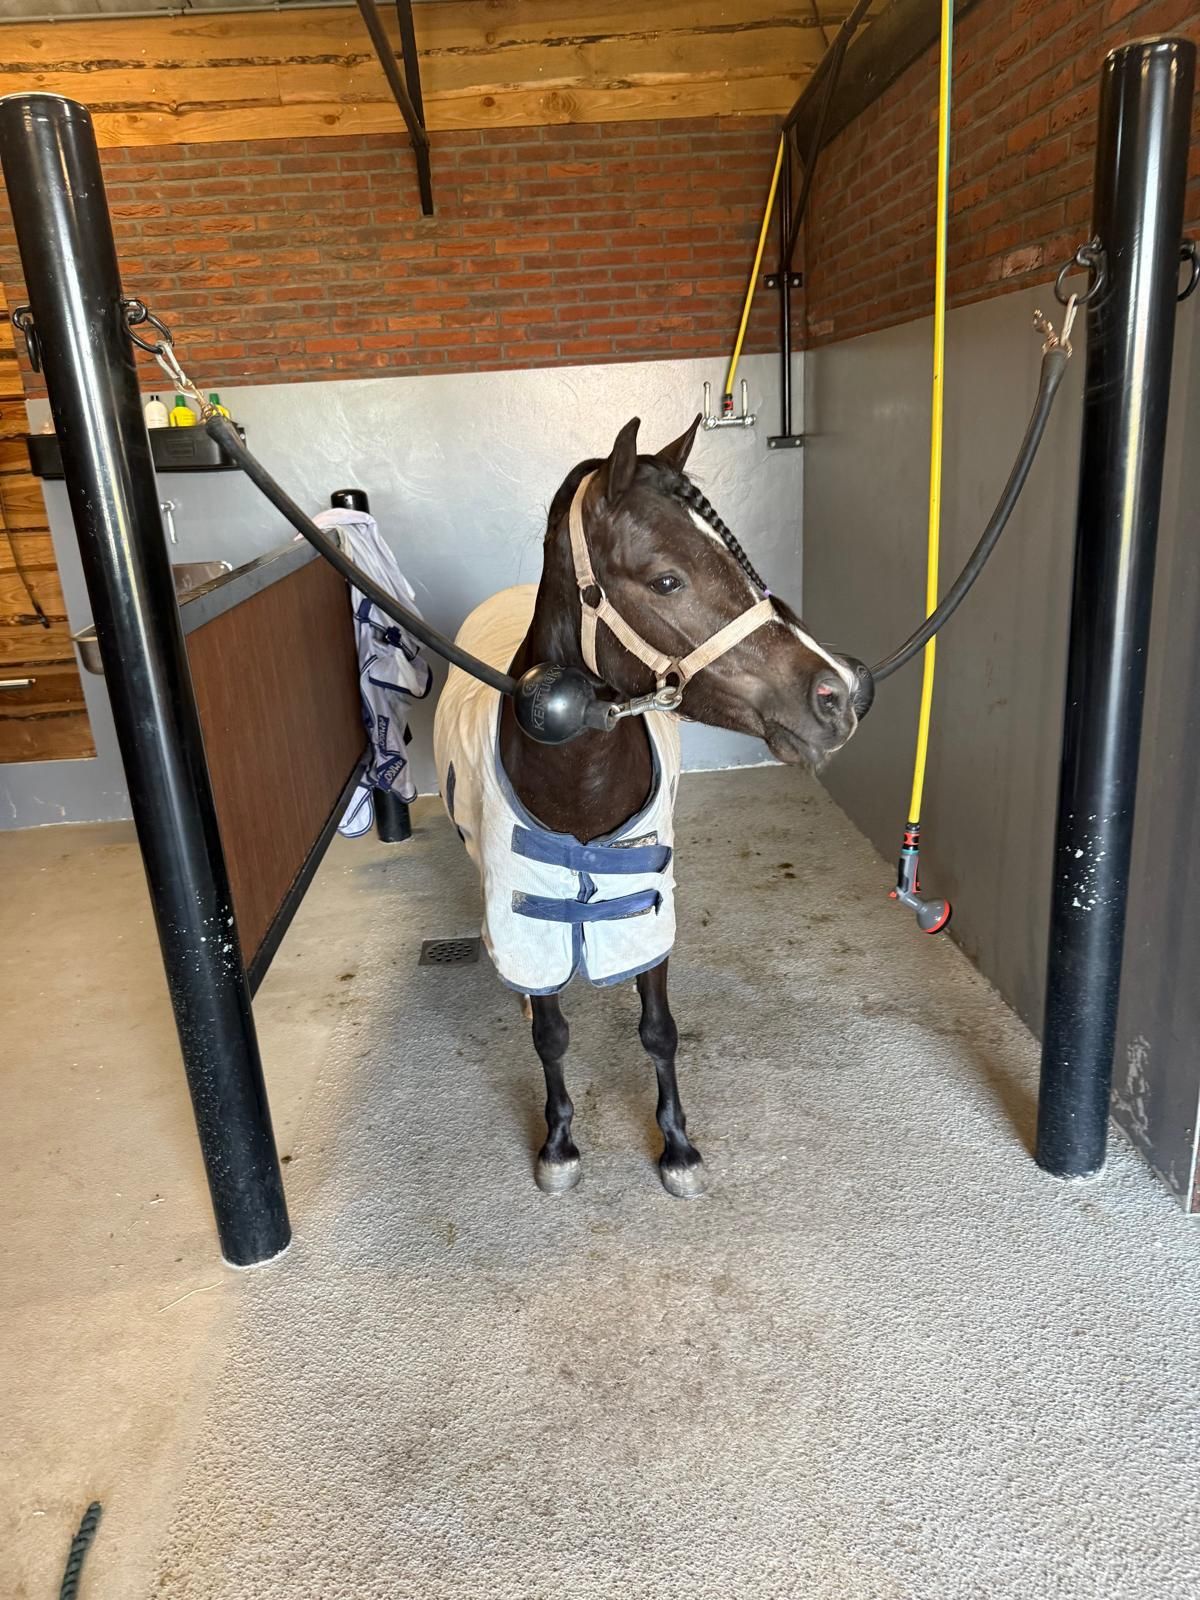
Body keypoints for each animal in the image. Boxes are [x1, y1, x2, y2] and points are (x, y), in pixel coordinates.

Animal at [433, 415, 861, 1199]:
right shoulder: (529, 905)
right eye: (666, 578)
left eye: (739, 559)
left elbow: (658, 1031)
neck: (575, 782)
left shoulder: (646, 899)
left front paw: (679, 1148)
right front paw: (559, 1143)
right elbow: (550, 1032)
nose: (837, 695)